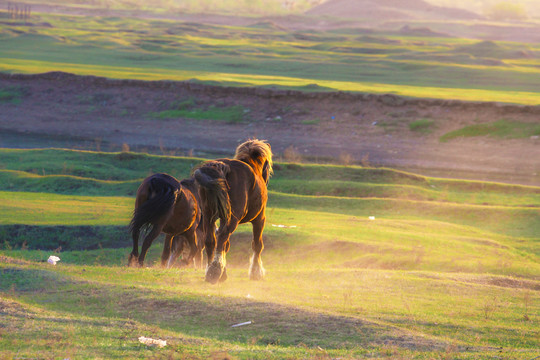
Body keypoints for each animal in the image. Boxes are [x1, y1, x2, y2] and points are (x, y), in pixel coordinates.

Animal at [194, 139, 272, 282]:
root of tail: (222, 166)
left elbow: (225, 245)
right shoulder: (260, 219)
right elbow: (257, 244)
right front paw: (256, 272)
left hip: (208, 215)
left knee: (211, 240)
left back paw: (212, 270)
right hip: (232, 218)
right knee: (222, 236)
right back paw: (215, 271)